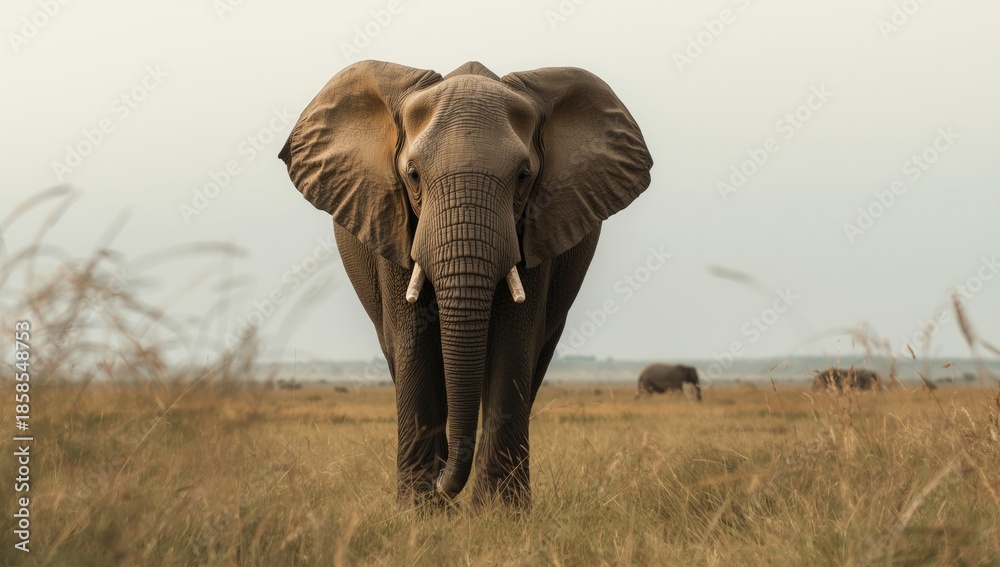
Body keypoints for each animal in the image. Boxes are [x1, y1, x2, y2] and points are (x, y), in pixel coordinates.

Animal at [279, 60, 652, 507]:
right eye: (413, 175)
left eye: (523, 177)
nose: (443, 487)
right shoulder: (392, 219)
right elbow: (412, 337)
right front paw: (420, 511)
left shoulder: (538, 224)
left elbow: (514, 341)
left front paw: (499, 514)